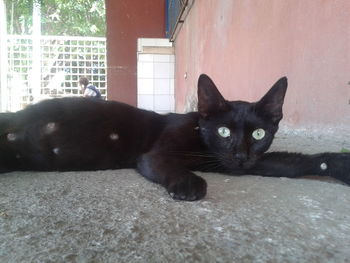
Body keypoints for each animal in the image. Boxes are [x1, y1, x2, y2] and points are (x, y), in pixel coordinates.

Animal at [0, 75, 348, 201]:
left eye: (259, 134)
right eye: (223, 131)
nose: (240, 154)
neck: (200, 139)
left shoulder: (237, 164)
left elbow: (291, 164)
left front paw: (338, 163)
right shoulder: (156, 154)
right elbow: (168, 164)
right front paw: (189, 184)